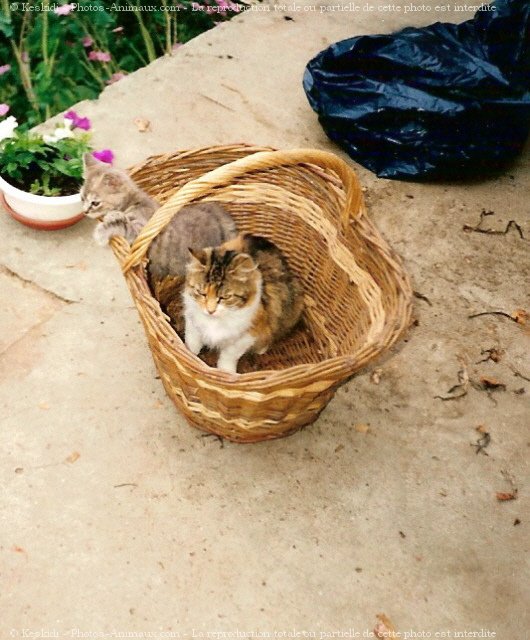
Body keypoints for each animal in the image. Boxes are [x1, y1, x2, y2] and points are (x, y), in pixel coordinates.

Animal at [81, 155, 237, 280]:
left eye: (95, 203)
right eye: (82, 198)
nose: (85, 211)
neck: (130, 202)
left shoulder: (142, 233)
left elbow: (123, 224)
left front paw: (103, 230)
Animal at [183, 234, 304, 376]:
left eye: (225, 297)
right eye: (202, 293)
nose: (210, 311)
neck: (214, 321)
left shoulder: (247, 335)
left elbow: (229, 355)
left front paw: (226, 372)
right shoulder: (191, 319)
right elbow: (192, 339)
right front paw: (190, 355)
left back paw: (261, 348)